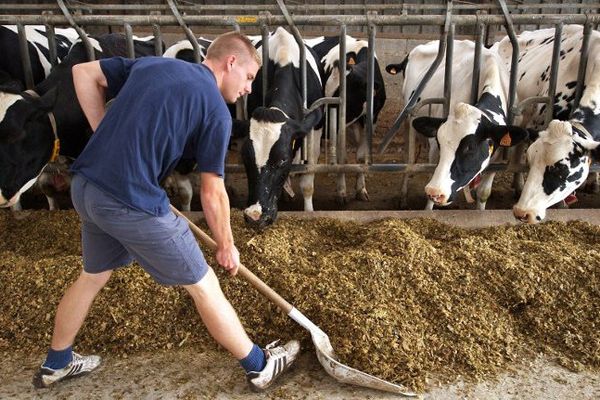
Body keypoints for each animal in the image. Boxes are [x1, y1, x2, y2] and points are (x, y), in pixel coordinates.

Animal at [238, 26, 324, 228]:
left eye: (283, 160)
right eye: (245, 156)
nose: (255, 216)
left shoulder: (314, 131)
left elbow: (307, 182)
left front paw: (309, 212)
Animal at [304, 33, 384, 203]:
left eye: (342, 98)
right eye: (324, 90)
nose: (321, 123)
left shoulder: (371, 120)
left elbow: (361, 157)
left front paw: (361, 189)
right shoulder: (339, 125)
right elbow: (343, 158)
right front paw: (341, 192)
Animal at [396, 39, 528, 211]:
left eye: (470, 148)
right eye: (440, 142)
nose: (436, 191)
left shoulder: (500, 157)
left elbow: (484, 193)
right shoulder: (434, 149)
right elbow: (431, 189)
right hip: (407, 120)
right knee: (409, 157)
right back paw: (403, 195)